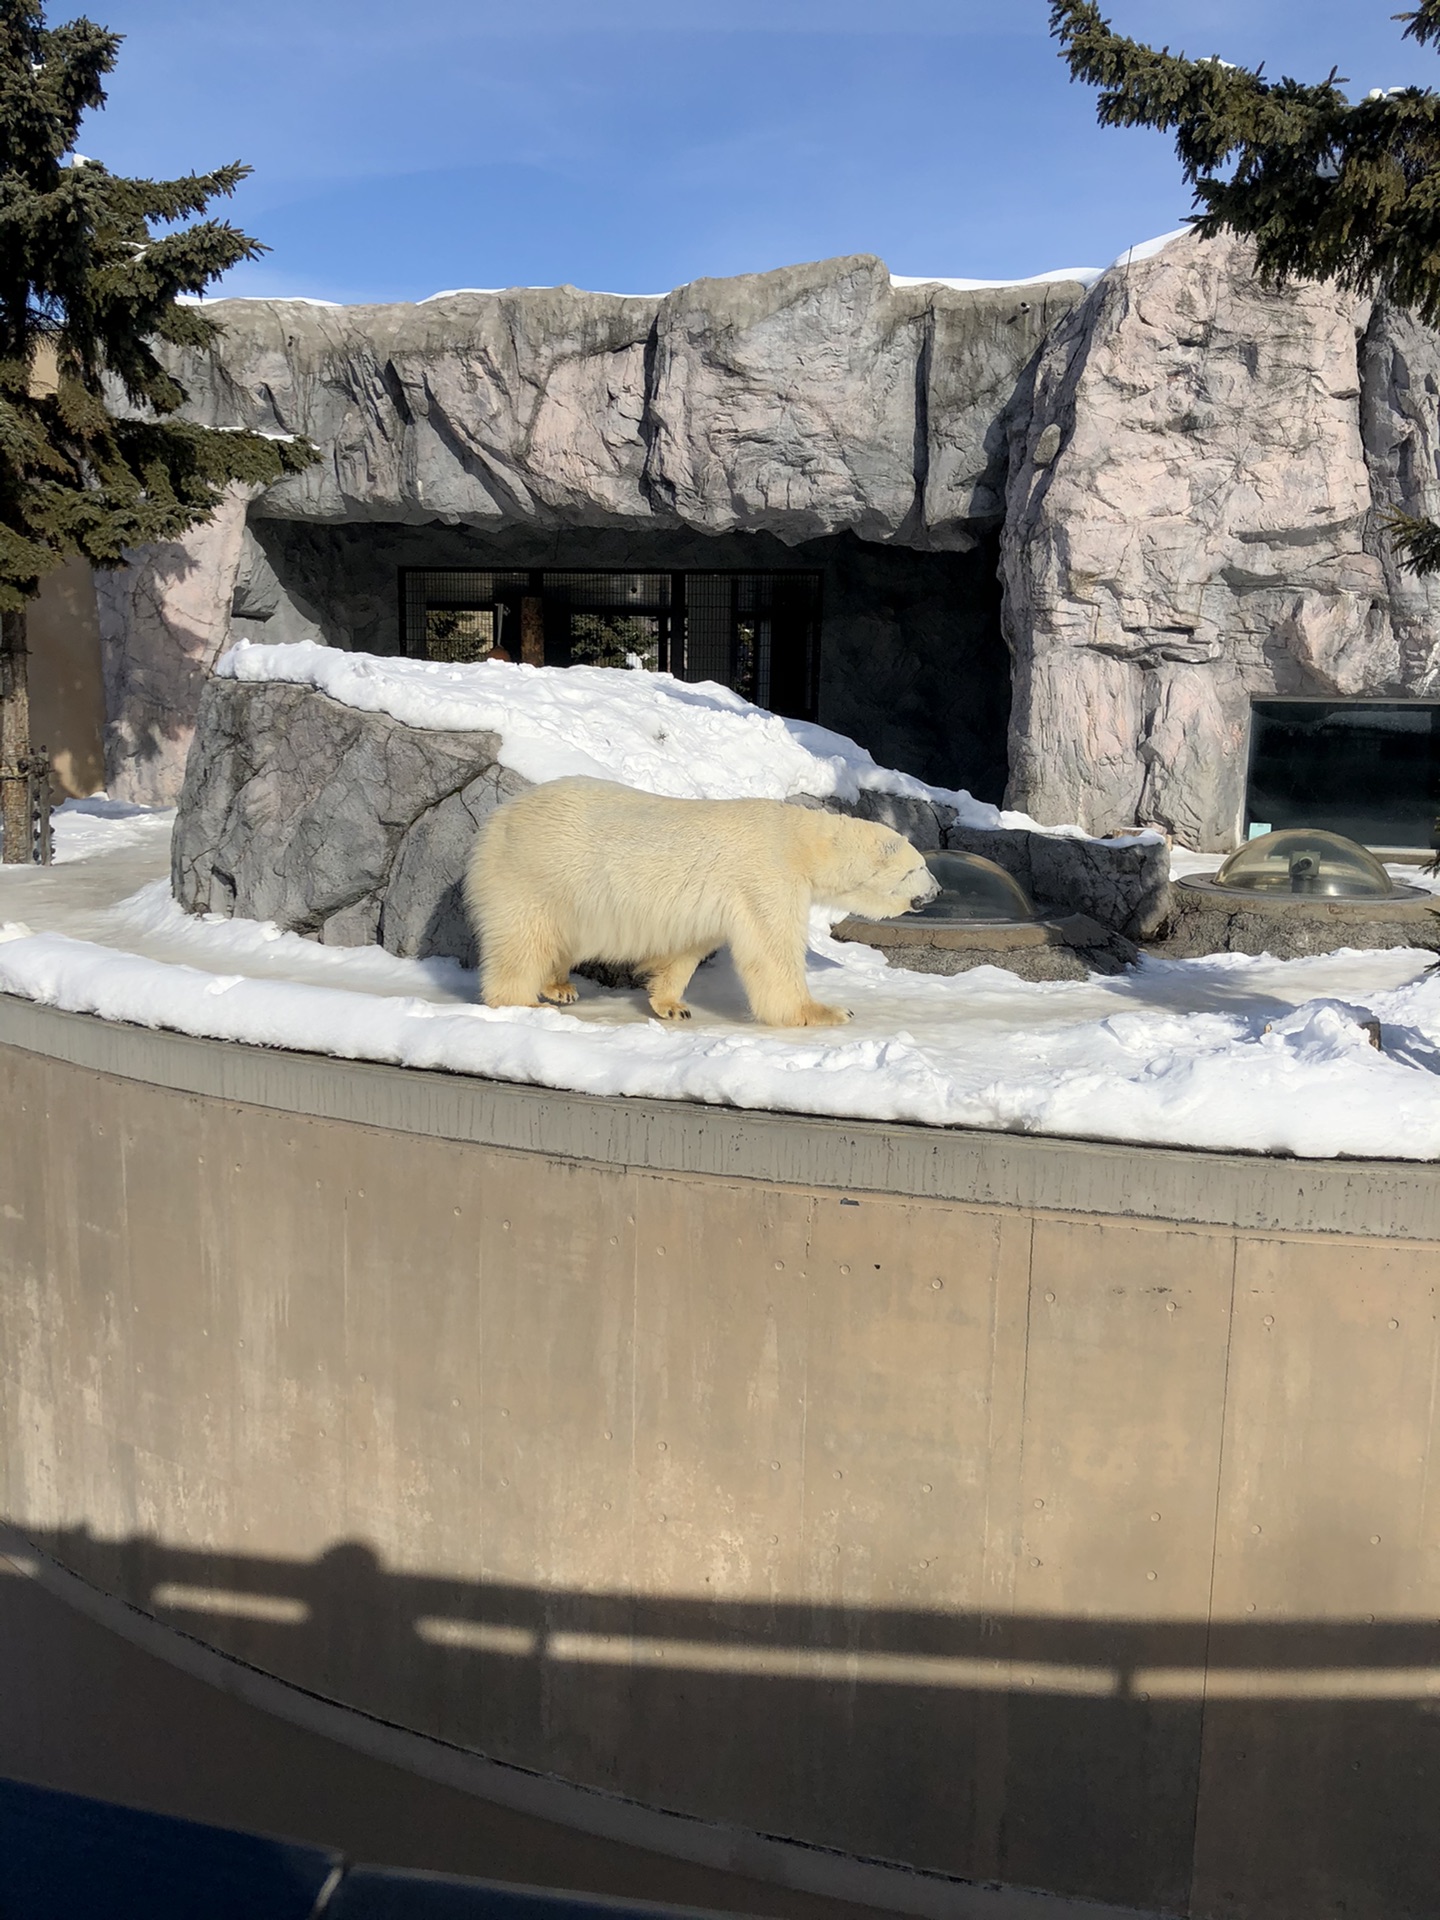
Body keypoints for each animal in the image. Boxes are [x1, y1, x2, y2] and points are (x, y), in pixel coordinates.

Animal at [464, 775, 948, 1029]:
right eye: (919, 867)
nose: (938, 891)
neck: (800, 841)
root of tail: (497, 820)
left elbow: (687, 949)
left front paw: (670, 1003)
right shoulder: (767, 875)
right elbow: (773, 951)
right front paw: (828, 1010)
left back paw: (559, 985)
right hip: (536, 872)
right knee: (523, 938)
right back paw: (524, 1002)